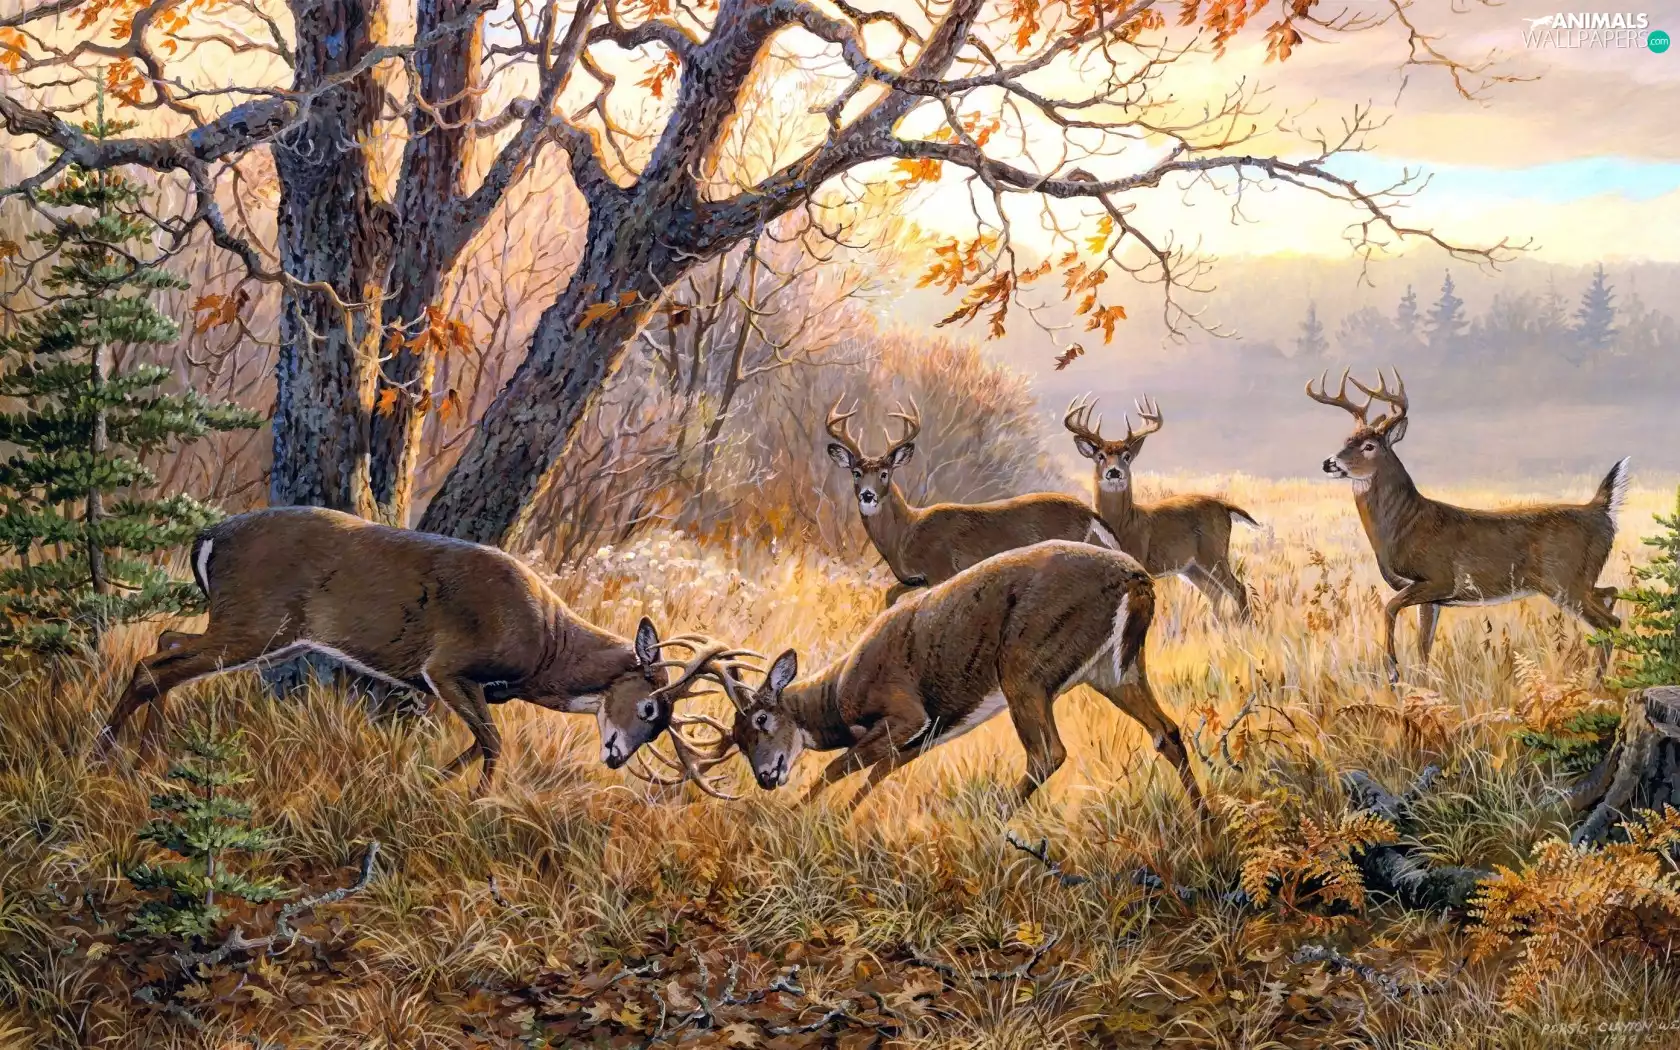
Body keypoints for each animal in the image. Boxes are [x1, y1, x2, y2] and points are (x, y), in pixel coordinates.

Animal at [92, 506, 732, 794]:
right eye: (649, 707)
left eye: (662, 724)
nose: (616, 757)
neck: (549, 648)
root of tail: (208, 538)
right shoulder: (445, 666)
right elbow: (492, 743)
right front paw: (477, 802)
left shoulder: (467, 688)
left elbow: (475, 744)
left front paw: (431, 784)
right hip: (256, 622)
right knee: (154, 663)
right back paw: (105, 757)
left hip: (255, 631)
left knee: (167, 645)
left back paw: (146, 755)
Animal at [674, 540, 1204, 817]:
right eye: (737, 740)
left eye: (761, 719)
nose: (767, 777)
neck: (838, 693)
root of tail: (1138, 580)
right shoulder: (924, 735)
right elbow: (875, 773)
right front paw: (841, 819)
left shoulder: (906, 712)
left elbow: (838, 767)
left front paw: (800, 817)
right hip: (1114, 669)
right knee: (1167, 731)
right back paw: (1204, 821)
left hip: (1024, 666)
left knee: (1048, 752)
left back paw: (996, 823)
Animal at [825, 397, 1121, 607]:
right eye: (856, 472)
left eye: (884, 473)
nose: (867, 495)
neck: (905, 534)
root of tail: (1089, 513)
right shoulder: (913, 579)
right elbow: (889, 596)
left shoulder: (941, 570)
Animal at [1064, 395, 1257, 620]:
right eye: (1100, 456)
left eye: (1127, 456)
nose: (1114, 472)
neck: (1122, 523)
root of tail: (1224, 506)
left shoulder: (1138, 559)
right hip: (1192, 567)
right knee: (1215, 594)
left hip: (1214, 552)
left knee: (1238, 589)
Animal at [1306, 368, 1628, 684]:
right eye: (1346, 440)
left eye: (1369, 446)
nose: (1328, 463)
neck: (1405, 524)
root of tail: (1601, 510)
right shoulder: (1431, 598)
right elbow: (1424, 648)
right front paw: (1420, 686)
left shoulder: (1439, 578)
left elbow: (1390, 608)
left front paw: (1393, 670)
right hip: (1579, 581)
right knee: (1611, 593)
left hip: (1564, 580)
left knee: (1611, 622)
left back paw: (1595, 684)